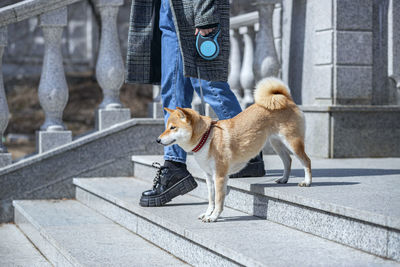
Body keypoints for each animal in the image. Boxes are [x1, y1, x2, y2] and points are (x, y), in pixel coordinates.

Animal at [157, 78, 312, 223]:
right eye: (166, 127)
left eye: (173, 128)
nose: (158, 140)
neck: (206, 137)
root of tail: (287, 99)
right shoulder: (209, 176)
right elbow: (211, 199)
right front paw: (207, 214)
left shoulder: (219, 176)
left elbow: (218, 200)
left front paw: (214, 217)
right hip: (276, 143)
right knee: (288, 160)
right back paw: (284, 179)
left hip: (293, 142)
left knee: (306, 161)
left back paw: (307, 182)